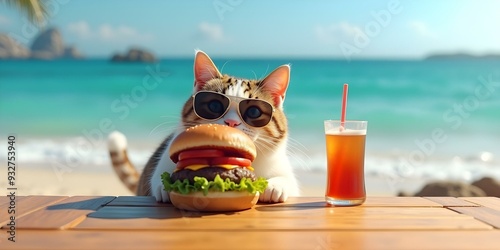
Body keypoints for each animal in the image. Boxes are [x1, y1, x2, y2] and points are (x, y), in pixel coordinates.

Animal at [107, 49, 298, 202]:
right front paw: (164, 188)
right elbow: (158, 180)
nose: (231, 122)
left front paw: (275, 186)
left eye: (253, 112)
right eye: (214, 105)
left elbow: (288, 181)